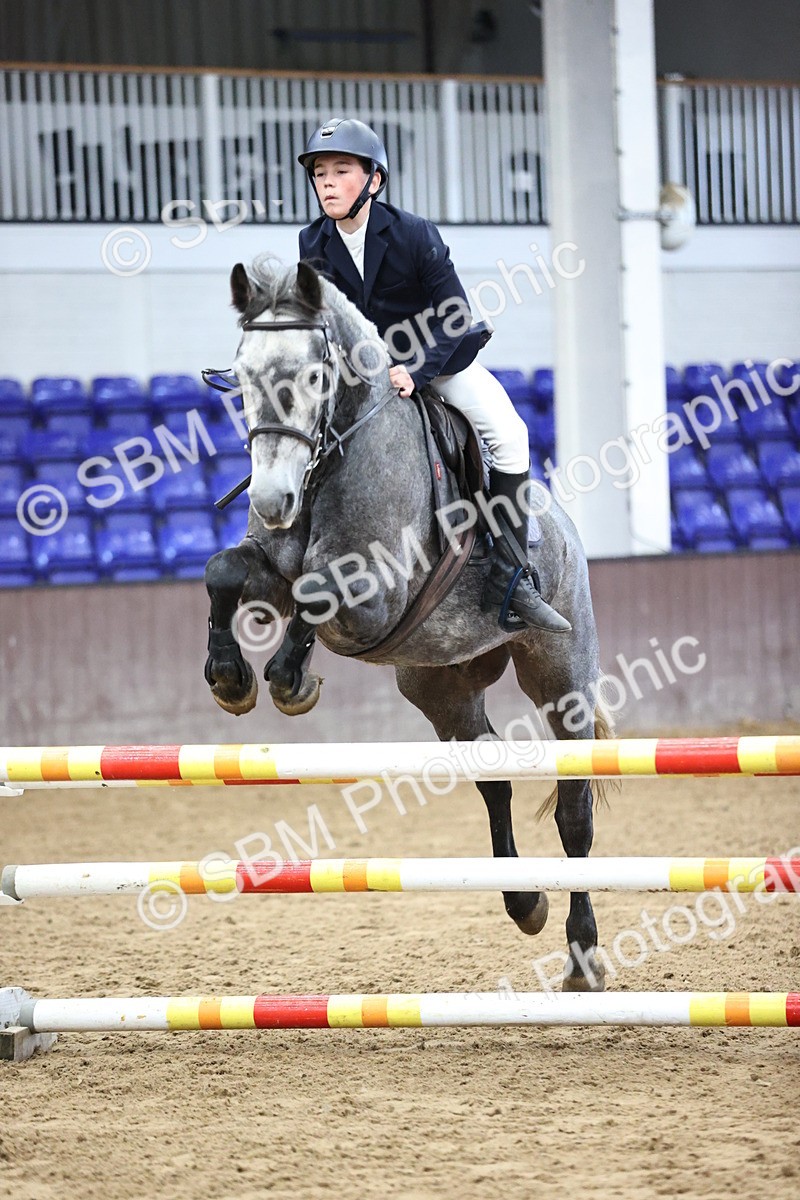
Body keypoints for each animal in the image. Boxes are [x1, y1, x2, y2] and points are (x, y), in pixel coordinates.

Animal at [203, 256, 612, 992]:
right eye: (242, 377)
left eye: (313, 376)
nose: (273, 500)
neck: (332, 461)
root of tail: (563, 526)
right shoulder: (268, 566)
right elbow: (224, 571)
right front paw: (230, 678)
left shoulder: (377, 594)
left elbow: (318, 591)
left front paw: (287, 679)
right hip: (441, 685)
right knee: (493, 779)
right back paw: (526, 903)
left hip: (561, 674)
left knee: (574, 813)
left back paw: (583, 954)